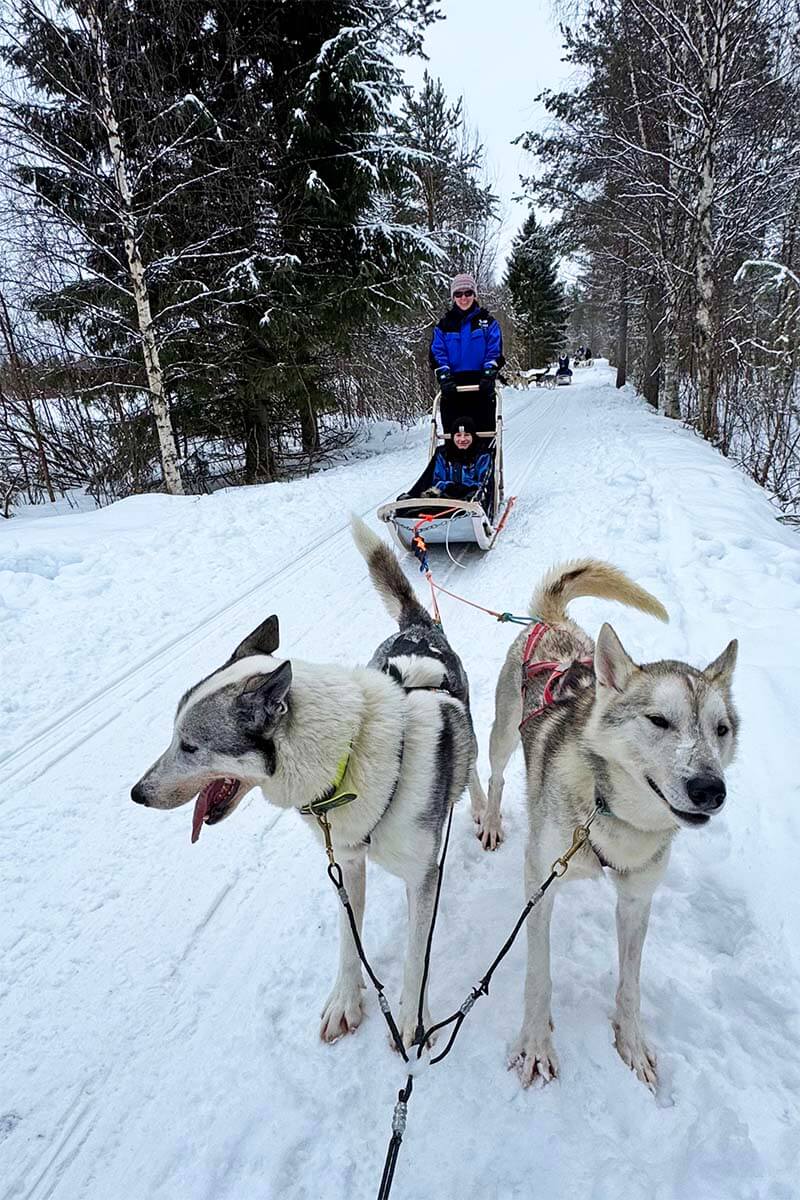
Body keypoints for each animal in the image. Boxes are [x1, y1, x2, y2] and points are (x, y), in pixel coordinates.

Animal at [131, 516, 484, 1051]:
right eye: (175, 737)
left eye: (189, 746)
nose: (137, 793)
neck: (346, 761)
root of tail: (419, 629)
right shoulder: (347, 863)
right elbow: (347, 938)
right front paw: (345, 1000)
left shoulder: (425, 877)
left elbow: (415, 956)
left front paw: (410, 1018)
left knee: (477, 767)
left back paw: (486, 812)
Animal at [482, 559, 738, 1089]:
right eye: (659, 720)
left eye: (720, 729)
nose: (710, 789)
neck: (608, 812)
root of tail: (553, 623)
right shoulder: (540, 882)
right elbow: (538, 975)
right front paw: (536, 1042)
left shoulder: (638, 899)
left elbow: (631, 984)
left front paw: (632, 1043)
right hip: (502, 737)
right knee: (495, 776)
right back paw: (492, 821)